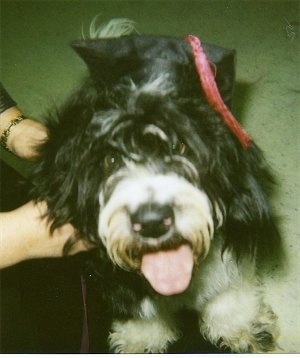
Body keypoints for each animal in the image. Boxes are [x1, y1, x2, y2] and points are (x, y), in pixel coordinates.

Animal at [32, 18, 282, 352]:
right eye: (111, 159)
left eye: (181, 146)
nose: (151, 222)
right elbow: (138, 307)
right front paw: (140, 338)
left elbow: (229, 289)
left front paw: (241, 327)